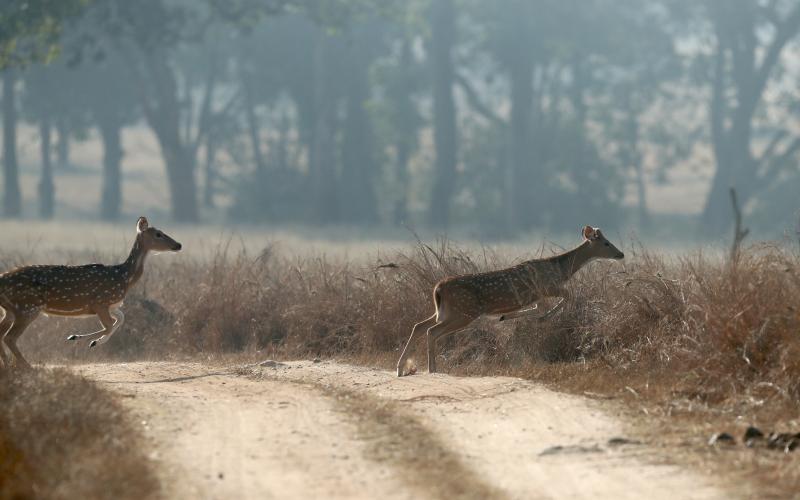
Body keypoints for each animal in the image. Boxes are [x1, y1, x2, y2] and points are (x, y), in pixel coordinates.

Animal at [0, 217, 181, 370]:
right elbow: (109, 325)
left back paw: (8, 365)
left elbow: (120, 319)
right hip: (27, 307)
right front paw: (80, 338)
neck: (124, 277)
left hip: (11, 310)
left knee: (3, 334)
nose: (178, 245)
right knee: (9, 337)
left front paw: (92, 341)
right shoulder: (100, 302)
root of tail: (2, 278)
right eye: (158, 234)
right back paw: (26, 366)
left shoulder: (111, 305)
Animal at [400, 226, 624, 376]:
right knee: (431, 331)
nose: (621, 254)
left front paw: (507, 316)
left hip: (444, 311)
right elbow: (568, 296)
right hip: (463, 311)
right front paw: (541, 318)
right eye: (606, 243)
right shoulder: (547, 287)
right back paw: (432, 369)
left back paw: (401, 368)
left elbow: (537, 308)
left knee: (419, 326)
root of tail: (438, 288)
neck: (560, 270)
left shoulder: (537, 295)